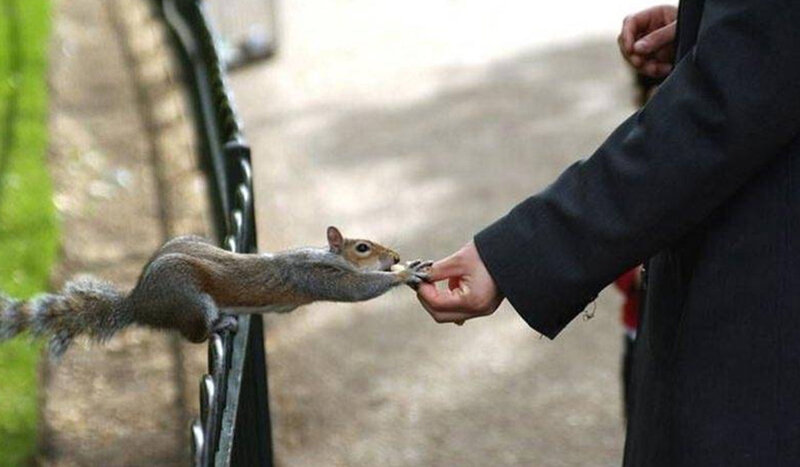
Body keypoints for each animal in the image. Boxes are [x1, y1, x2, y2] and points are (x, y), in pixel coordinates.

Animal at [0, 226, 431, 358]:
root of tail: (140, 303)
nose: (395, 256)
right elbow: (357, 290)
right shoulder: (314, 277)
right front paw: (404, 274)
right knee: (192, 334)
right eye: (362, 247)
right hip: (191, 301)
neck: (327, 256)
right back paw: (220, 325)